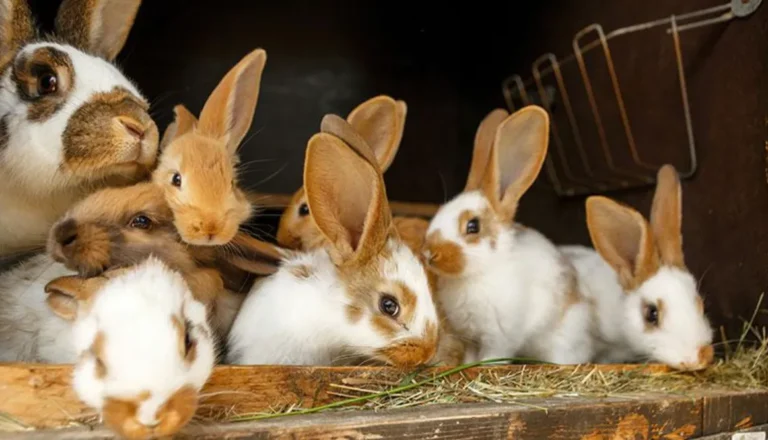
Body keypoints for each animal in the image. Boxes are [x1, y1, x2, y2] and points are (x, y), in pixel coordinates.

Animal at [422, 106, 593, 365]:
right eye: (439, 212)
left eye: (473, 226)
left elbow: (494, 355)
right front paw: (466, 366)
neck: (478, 273)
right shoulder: (469, 336)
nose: (430, 253)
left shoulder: (499, 335)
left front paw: (484, 367)